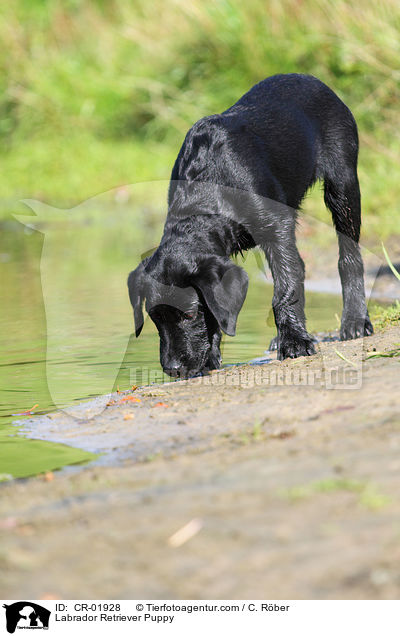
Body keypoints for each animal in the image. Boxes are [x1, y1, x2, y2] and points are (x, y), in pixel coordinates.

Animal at [128, 73, 372, 378]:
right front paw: (211, 356)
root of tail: (310, 79)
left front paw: (294, 342)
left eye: (189, 314)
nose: (173, 369)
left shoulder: (276, 227)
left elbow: (286, 288)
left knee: (348, 257)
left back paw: (355, 320)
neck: (207, 191)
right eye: (155, 317)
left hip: (343, 186)